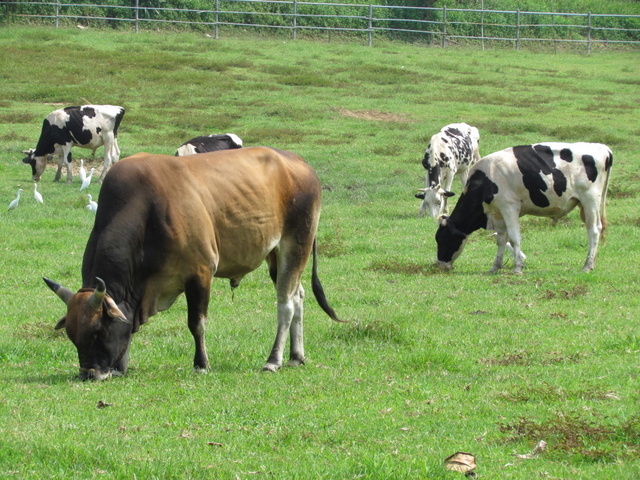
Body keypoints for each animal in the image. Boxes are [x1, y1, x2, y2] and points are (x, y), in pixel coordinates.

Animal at [438, 142, 612, 274]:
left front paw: (517, 268)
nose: (438, 264)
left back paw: (587, 265)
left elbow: (514, 238)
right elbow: (501, 240)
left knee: (594, 230)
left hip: (590, 200)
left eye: (443, 238)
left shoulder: (509, 207)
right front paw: (495, 267)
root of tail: (603, 148)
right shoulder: (498, 214)